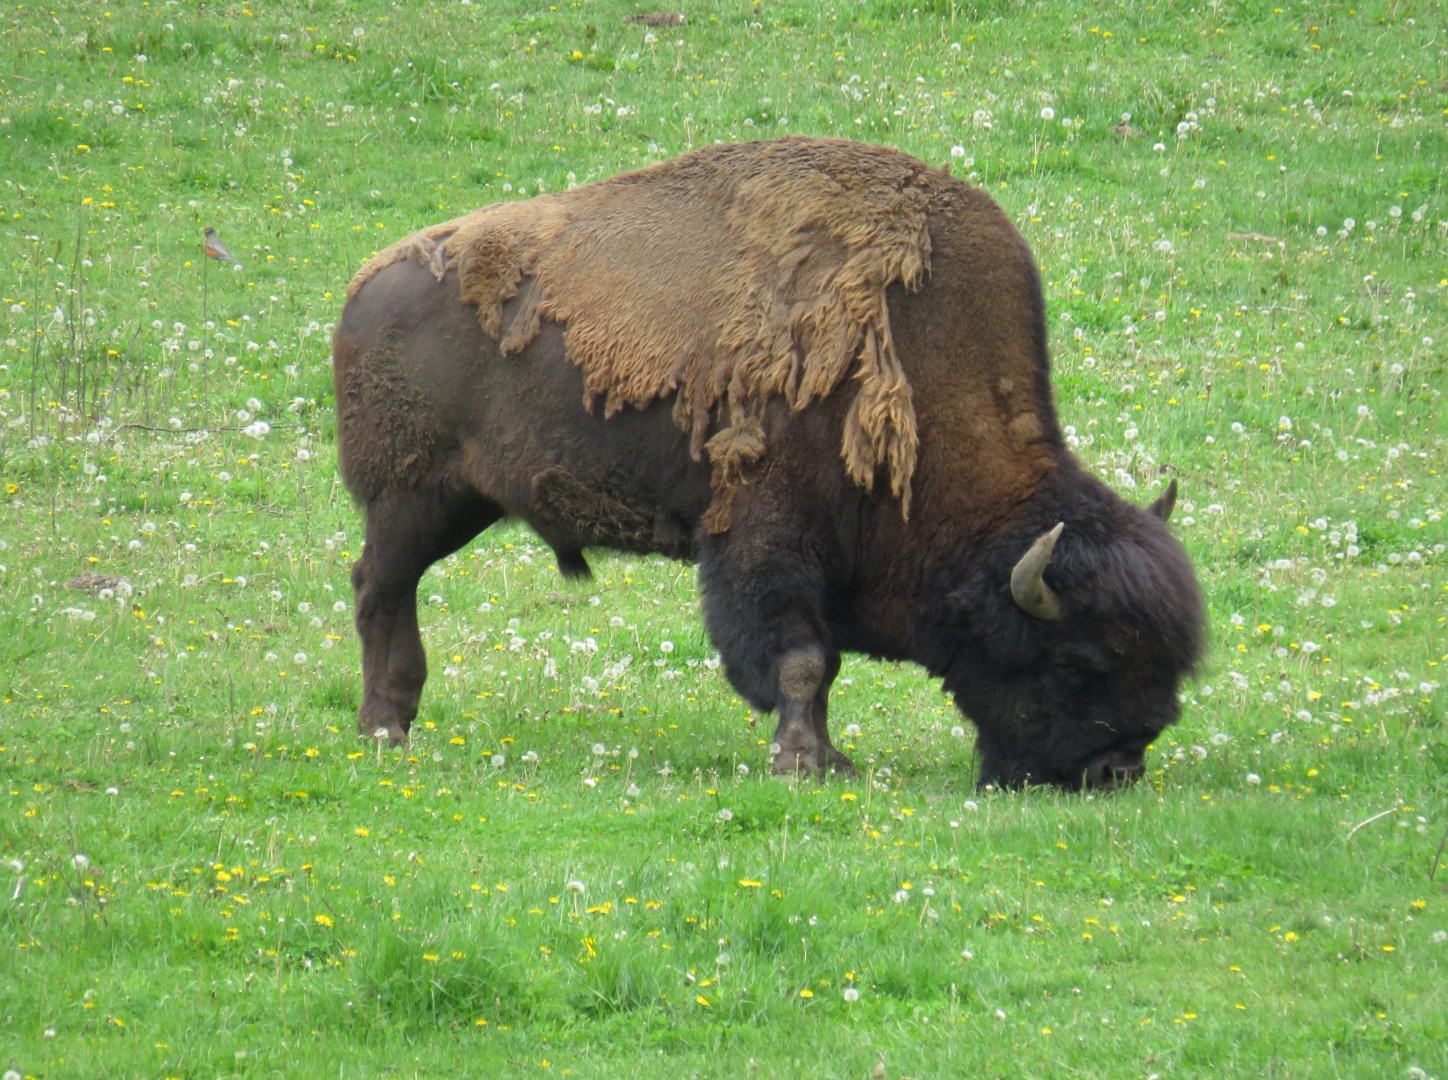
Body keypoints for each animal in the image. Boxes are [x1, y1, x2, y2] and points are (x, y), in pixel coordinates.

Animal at [333, 136, 1204, 790]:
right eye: (1081, 662)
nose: (1114, 772)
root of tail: (365, 285)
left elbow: (824, 667)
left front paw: (832, 758)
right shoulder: (767, 541)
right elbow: (801, 662)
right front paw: (802, 762)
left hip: (459, 503)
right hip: (415, 496)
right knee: (380, 588)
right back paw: (385, 728)